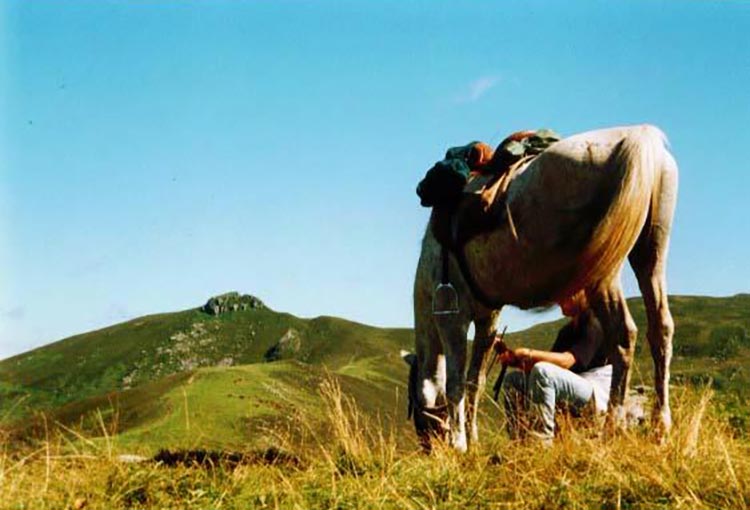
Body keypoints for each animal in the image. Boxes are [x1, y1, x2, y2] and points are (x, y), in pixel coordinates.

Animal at [408, 125, 680, 452]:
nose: (427, 448)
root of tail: (636, 138)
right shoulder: (488, 321)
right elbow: (475, 382)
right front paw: (472, 440)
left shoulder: (452, 317)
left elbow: (455, 383)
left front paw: (460, 444)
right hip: (651, 254)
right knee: (660, 329)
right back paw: (661, 428)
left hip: (604, 271)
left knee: (623, 334)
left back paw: (611, 429)